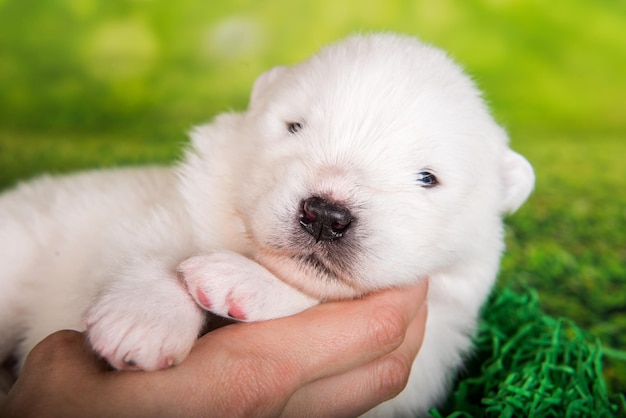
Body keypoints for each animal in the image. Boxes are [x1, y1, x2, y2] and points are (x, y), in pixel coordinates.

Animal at [1, 33, 536, 414]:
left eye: (427, 177)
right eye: (295, 127)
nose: (325, 215)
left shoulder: (431, 346)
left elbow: (318, 293)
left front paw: (239, 282)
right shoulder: (158, 209)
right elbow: (146, 248)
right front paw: (144, 321)